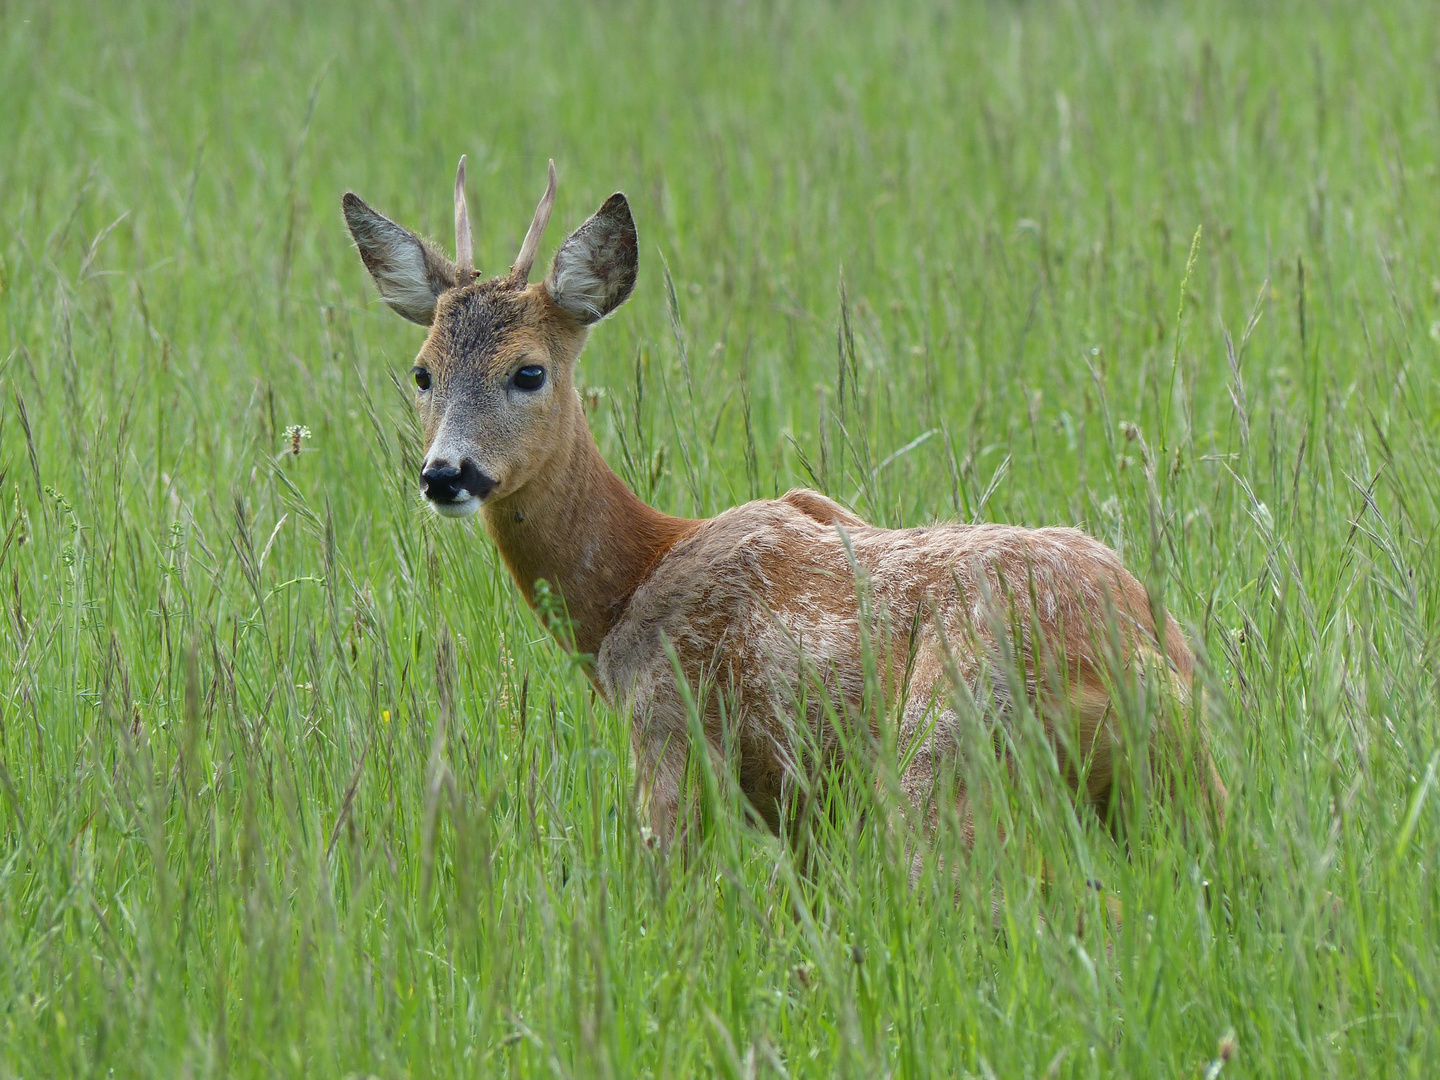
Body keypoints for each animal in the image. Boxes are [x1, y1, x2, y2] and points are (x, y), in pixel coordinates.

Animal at [342, 158, 1221, 852]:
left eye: (529, 371)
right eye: (422, 372)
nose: (446, 473)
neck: (628, 584)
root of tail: (1133, 653)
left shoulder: (669, 740)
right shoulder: (801, 812)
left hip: (943, 757)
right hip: (1179, 794)